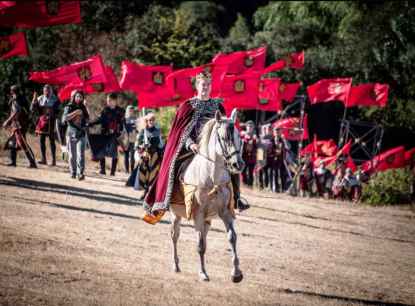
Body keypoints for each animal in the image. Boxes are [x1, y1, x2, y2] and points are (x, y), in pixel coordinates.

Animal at [170, 108, 245, 282]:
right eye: (223, 138)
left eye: (239, 137)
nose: (238, 164)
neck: (212, 177)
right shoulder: (198, 213)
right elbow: (200, 245)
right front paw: (203, 273)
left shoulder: (225, 211)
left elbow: (232, 237)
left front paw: (236, 273)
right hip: (176, 214)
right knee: (175, 235)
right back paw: (176, 265)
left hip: (207, 220)